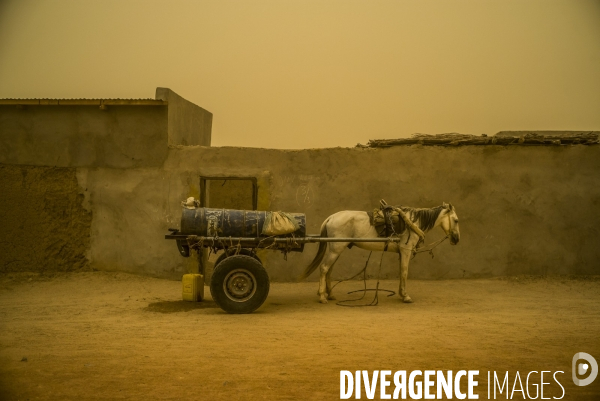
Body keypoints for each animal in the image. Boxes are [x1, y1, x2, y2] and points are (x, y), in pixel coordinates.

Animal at [300, 203, 460, 304]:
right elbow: (404, 272)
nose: (456, 239)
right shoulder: (406, 250)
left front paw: (401, 293)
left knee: (329, 270)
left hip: (336, 249)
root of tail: (331, 217)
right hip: (336, 249)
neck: (412, 223)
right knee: (324, 268)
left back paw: (330, 294)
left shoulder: (401, 253)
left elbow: (401, 272)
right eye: (456, 220)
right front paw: (406, 296)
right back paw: (322, 297)